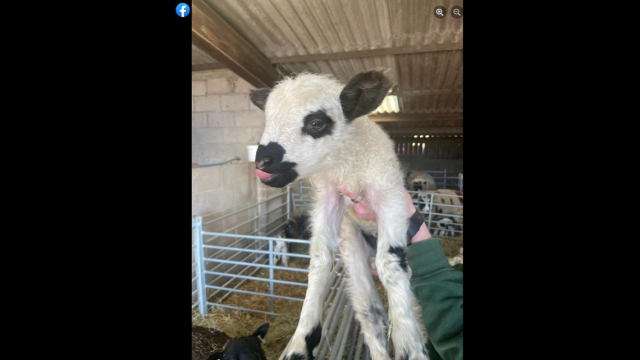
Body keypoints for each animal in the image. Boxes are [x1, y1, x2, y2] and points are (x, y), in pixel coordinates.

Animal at [250, 69, 430, 360]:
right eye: (268, 119)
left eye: (316, 123)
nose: (262, 162)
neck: (348, 168)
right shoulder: (330, 198)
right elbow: (320, 260)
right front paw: (301, 341)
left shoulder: (389, 194)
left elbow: (390, 265)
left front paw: (408, 347)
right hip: (353, 247)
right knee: (370, 313)